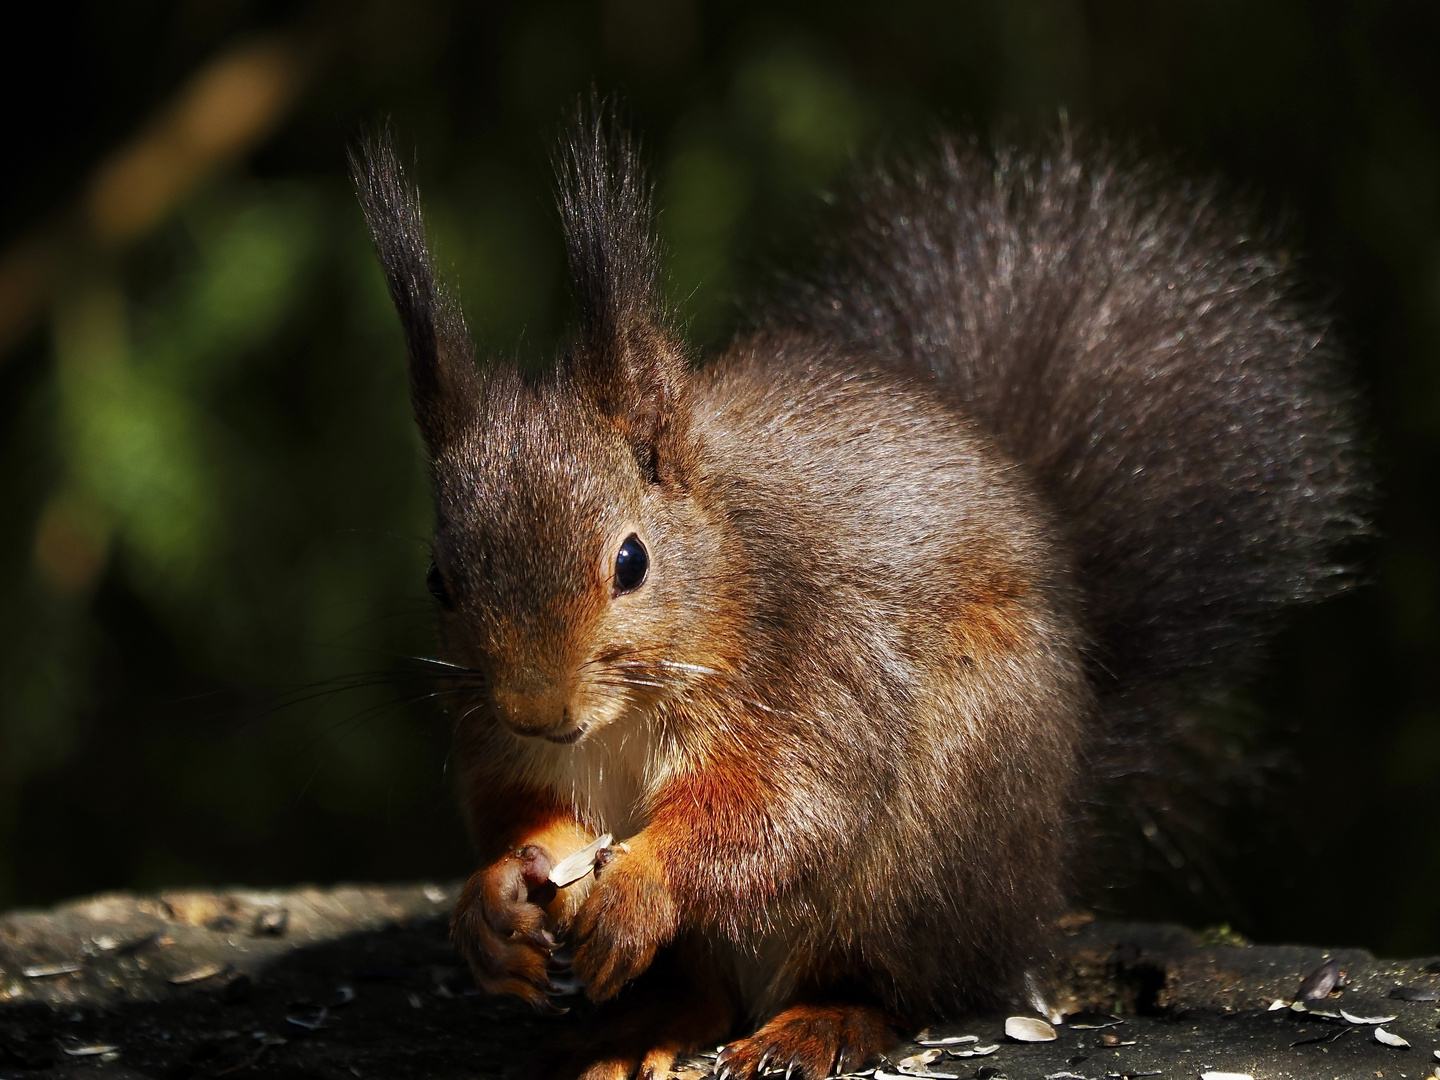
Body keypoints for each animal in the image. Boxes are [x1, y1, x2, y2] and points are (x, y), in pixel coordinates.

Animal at [354, 112, 1365, 1080]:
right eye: (440, 580)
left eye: (632, 562)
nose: (540, 711)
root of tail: (1036, 878)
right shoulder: (495, 737)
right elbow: (510, 804)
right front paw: (492, 903)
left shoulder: (818, 656)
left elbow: (791, 806)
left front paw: (643, 885)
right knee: (704, 994)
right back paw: (635, 1027)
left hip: (933, 844)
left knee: (892, 982)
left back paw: (817, 1025)